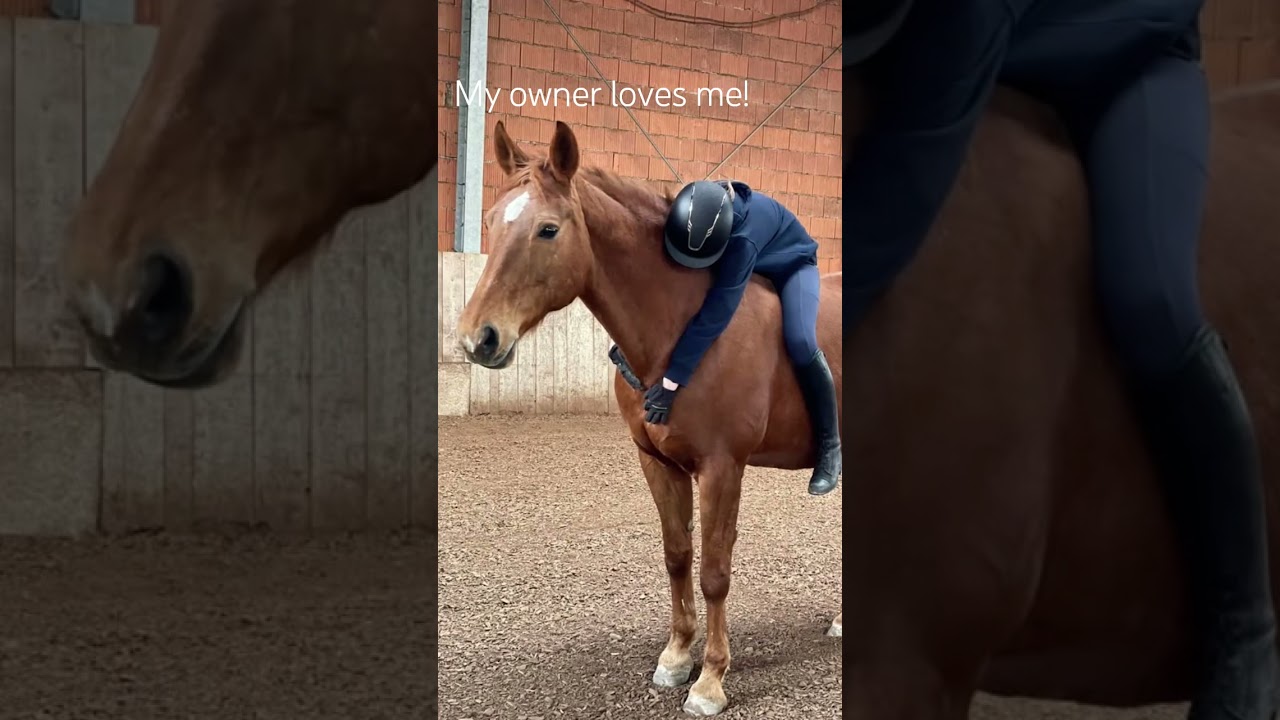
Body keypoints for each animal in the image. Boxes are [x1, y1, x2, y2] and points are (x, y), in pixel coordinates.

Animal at [453, 119, 845, 716]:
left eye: (548, 229)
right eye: (493, 221)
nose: (479, 338)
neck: (682, 331)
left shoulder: (722, 468)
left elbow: (713, 572)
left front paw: (710, 681)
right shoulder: (657, 462)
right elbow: (677, 555)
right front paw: (677, 657)